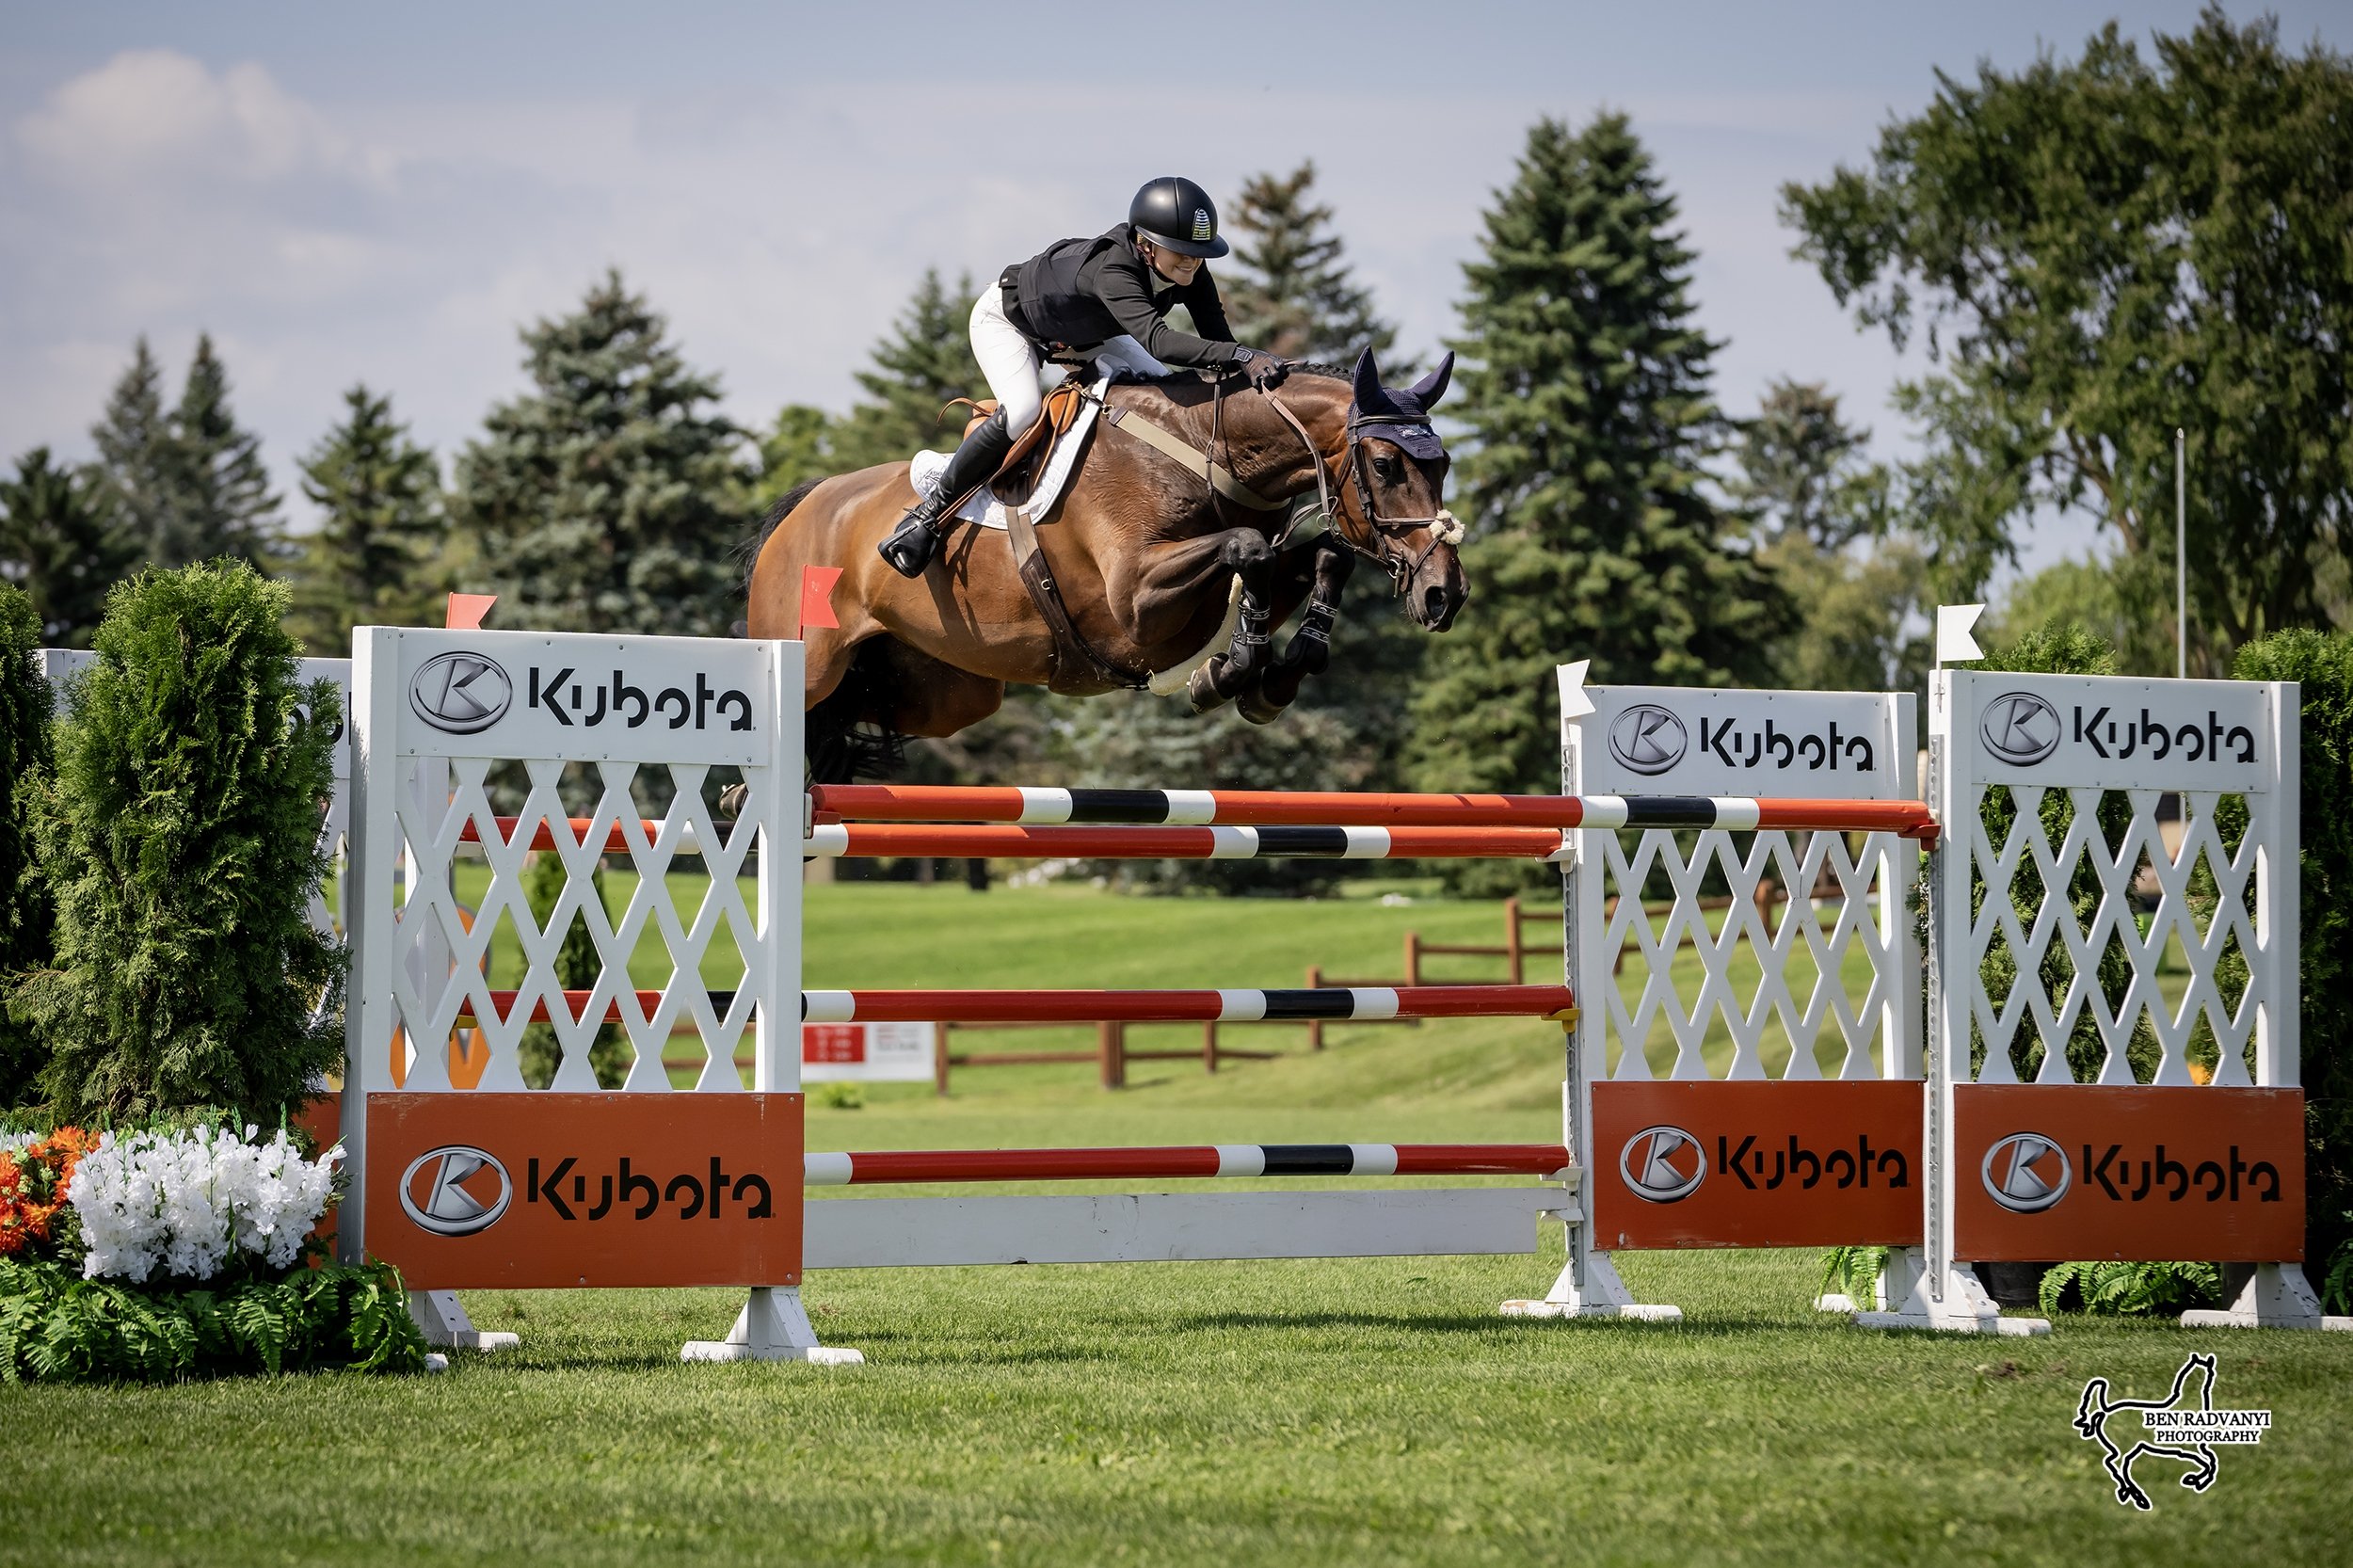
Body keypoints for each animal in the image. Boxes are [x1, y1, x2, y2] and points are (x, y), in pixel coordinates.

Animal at [743, 348, 1466, 781]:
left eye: (1445, 464)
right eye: (1386, 465)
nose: (1445, 596)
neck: (1204, 449)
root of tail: (807, 504)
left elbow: (1324, 558)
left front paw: (1273, 677)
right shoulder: (1135, 603)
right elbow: (1250, 550)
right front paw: (1233, 670)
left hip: (950, 691)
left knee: (860, 711)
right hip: (811, 662)